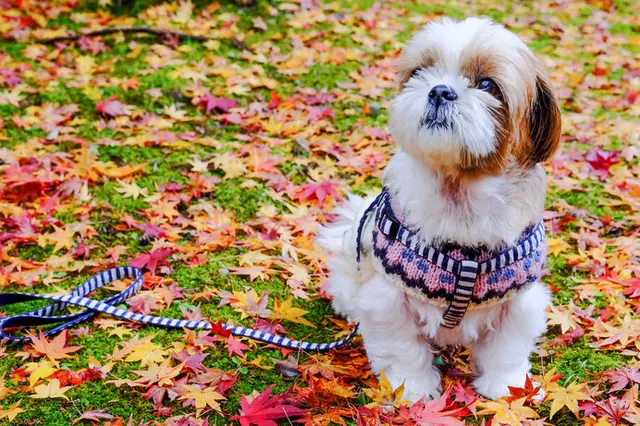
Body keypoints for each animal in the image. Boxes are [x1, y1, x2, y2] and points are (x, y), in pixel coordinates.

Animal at [318, 16, 560, 402]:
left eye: (488, 84)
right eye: (420, 72)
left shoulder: (518, 303)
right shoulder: (388, 299)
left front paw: (510, 388)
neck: (459, 198)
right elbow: (403, 349)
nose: (440, 91)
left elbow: (507, 350)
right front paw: (412, 388)